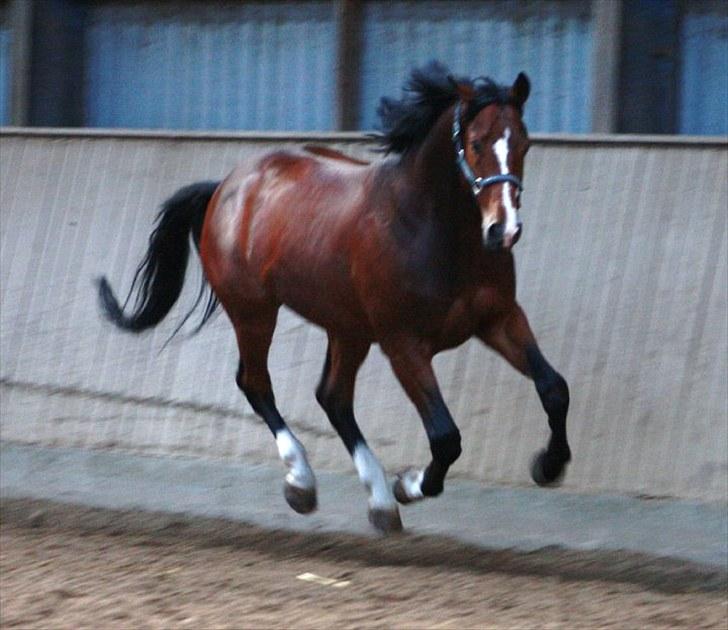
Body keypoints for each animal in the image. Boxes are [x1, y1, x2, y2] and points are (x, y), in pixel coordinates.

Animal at [98, 63, 576, 532]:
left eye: (525, 143)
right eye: (475, 144)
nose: (504, 230)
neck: (433, 229)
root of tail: (226, 188)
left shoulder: (499, 319)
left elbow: (554, 388)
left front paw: (548, 465)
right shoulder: (403, 345)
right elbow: (445, 436)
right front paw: (410, 484)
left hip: (346, 329)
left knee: (332, 398)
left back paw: (379, 504)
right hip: (254, 313)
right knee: (256, 383)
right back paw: (303, 484)